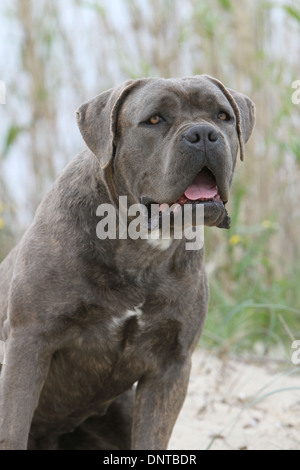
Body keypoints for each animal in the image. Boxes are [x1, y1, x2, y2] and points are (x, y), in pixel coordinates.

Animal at [0, 75, 255, 450]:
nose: (203, 134)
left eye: (222, 116)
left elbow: (152, 437)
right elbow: (13, 429)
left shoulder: (170, 367)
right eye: (154, 119)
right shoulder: (28, 342)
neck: (141, 247)